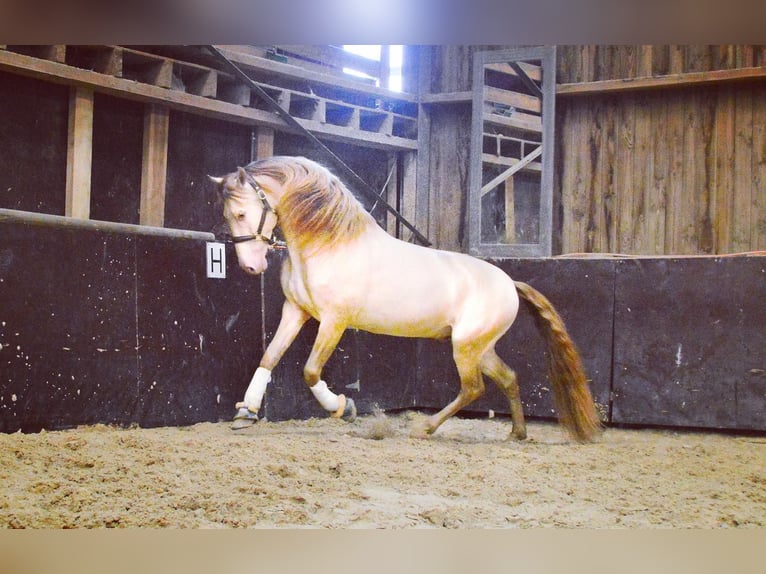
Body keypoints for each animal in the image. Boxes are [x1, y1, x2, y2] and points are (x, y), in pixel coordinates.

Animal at [209, 156, 602, 441]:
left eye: (242, 212)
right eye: (226, 215)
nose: (251, 266)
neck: (329, 245)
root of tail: (509, 282)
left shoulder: (333, 321)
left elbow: (309, 371)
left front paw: (344, 408)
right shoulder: (296, 311)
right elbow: (269, 357)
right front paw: (245, 413)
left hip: (465, 347)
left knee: (473, 388)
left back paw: (425, 428)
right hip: (480, 347)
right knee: (508, 379)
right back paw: (516, 434)